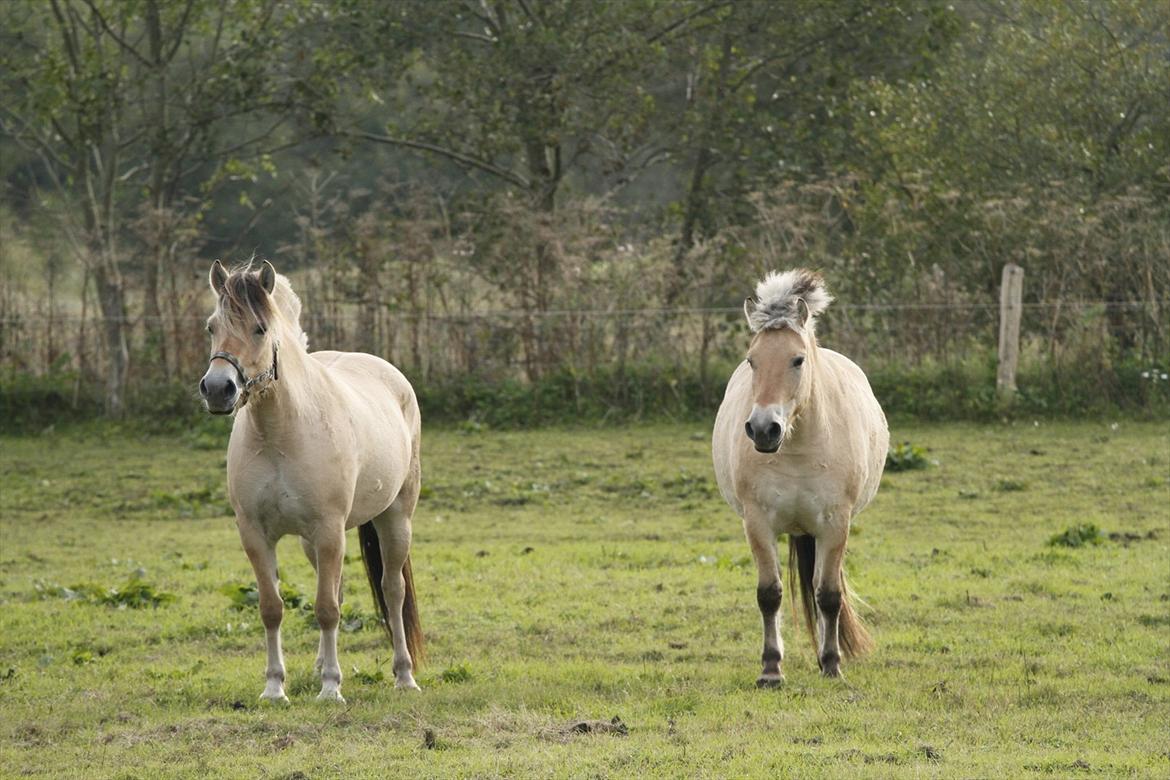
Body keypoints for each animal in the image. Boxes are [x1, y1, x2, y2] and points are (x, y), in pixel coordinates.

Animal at [201, 260, 425, 701]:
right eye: (212, 327)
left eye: (260, 329)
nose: (218, 389)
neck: (280, 434)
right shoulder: (255, 534)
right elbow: (273, 607)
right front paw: (275, 687)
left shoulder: (329, 530)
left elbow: (326, 609)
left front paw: (331, 690)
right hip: (312, 542)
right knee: (334, 587)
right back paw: (322, 665)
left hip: (395, 519)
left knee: (392, 590)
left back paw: (404, 675)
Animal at [711, 268, 884, 682]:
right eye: (752, 360)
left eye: (798, 360)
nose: (763, 429)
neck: (797, 449)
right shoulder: (758, 523)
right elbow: (769, 594)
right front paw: (771, 669)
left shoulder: (835, 523)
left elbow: (829, 596)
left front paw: (832, 665)